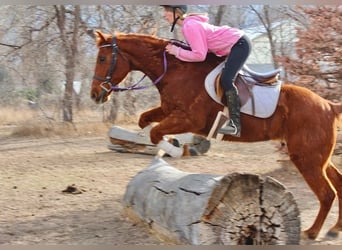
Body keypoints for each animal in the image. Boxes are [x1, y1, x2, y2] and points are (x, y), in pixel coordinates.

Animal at [91, 30, 342, 240]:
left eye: (102, 59)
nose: (95, 95)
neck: (175, 70)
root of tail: (329, 106)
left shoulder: (189, 119)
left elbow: (155, 132)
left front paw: (171, 150)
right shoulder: (168, 111)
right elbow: (145, 121)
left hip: (307, 159)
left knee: (327, 193)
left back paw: (312, 232)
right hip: (317, 157)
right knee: (337, 183)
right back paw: (334, 229)